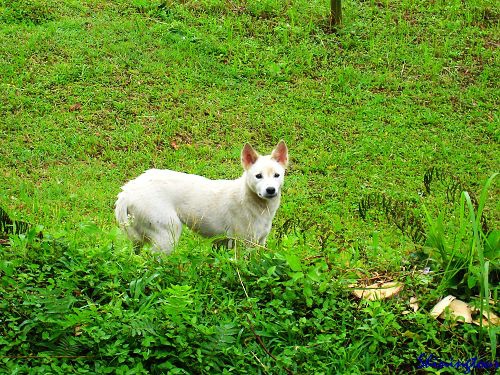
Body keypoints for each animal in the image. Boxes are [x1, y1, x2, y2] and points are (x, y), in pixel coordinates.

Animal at [114, 142, 288, 256]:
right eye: (258, 176)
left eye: (277, 175)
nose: (270, 190)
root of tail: (127, 191)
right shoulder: (243, 244)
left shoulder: (260, 242)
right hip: (168, 234)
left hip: (141, 238)